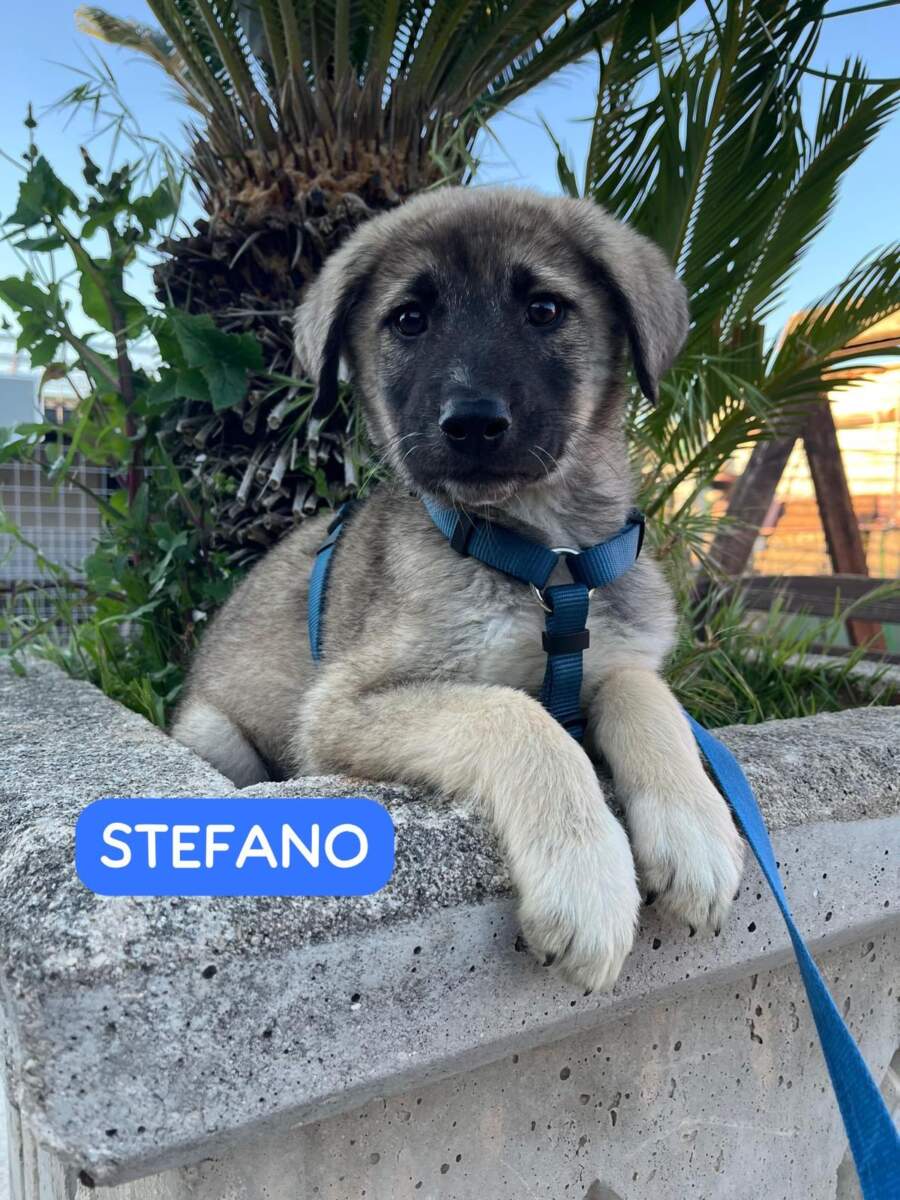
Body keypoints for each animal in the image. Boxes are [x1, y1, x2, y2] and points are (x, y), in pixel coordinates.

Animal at [172, 187, 744, 992]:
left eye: (544, 309)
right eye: (409, 319)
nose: (472, 423)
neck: (546, 561)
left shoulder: (613, 656)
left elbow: (646, 694)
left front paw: (693, 828)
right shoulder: (340, 710)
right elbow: (511, 712)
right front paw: (586, 875)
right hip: (213, 734)